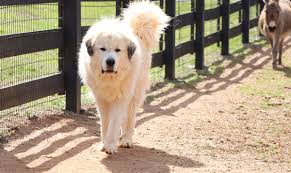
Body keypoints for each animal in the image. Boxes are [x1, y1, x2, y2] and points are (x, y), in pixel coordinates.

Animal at [78, 0, 170, 153]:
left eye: (118, 50)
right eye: (102, 49)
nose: (110, 62)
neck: (110, 79)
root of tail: (138, 32)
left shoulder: (121, 98)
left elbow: (115, 122)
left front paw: (110, 145)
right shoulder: (101, 99)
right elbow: (106, 123)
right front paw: (105, 142)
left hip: (134, 95)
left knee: (130, 119)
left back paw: (126, 140)